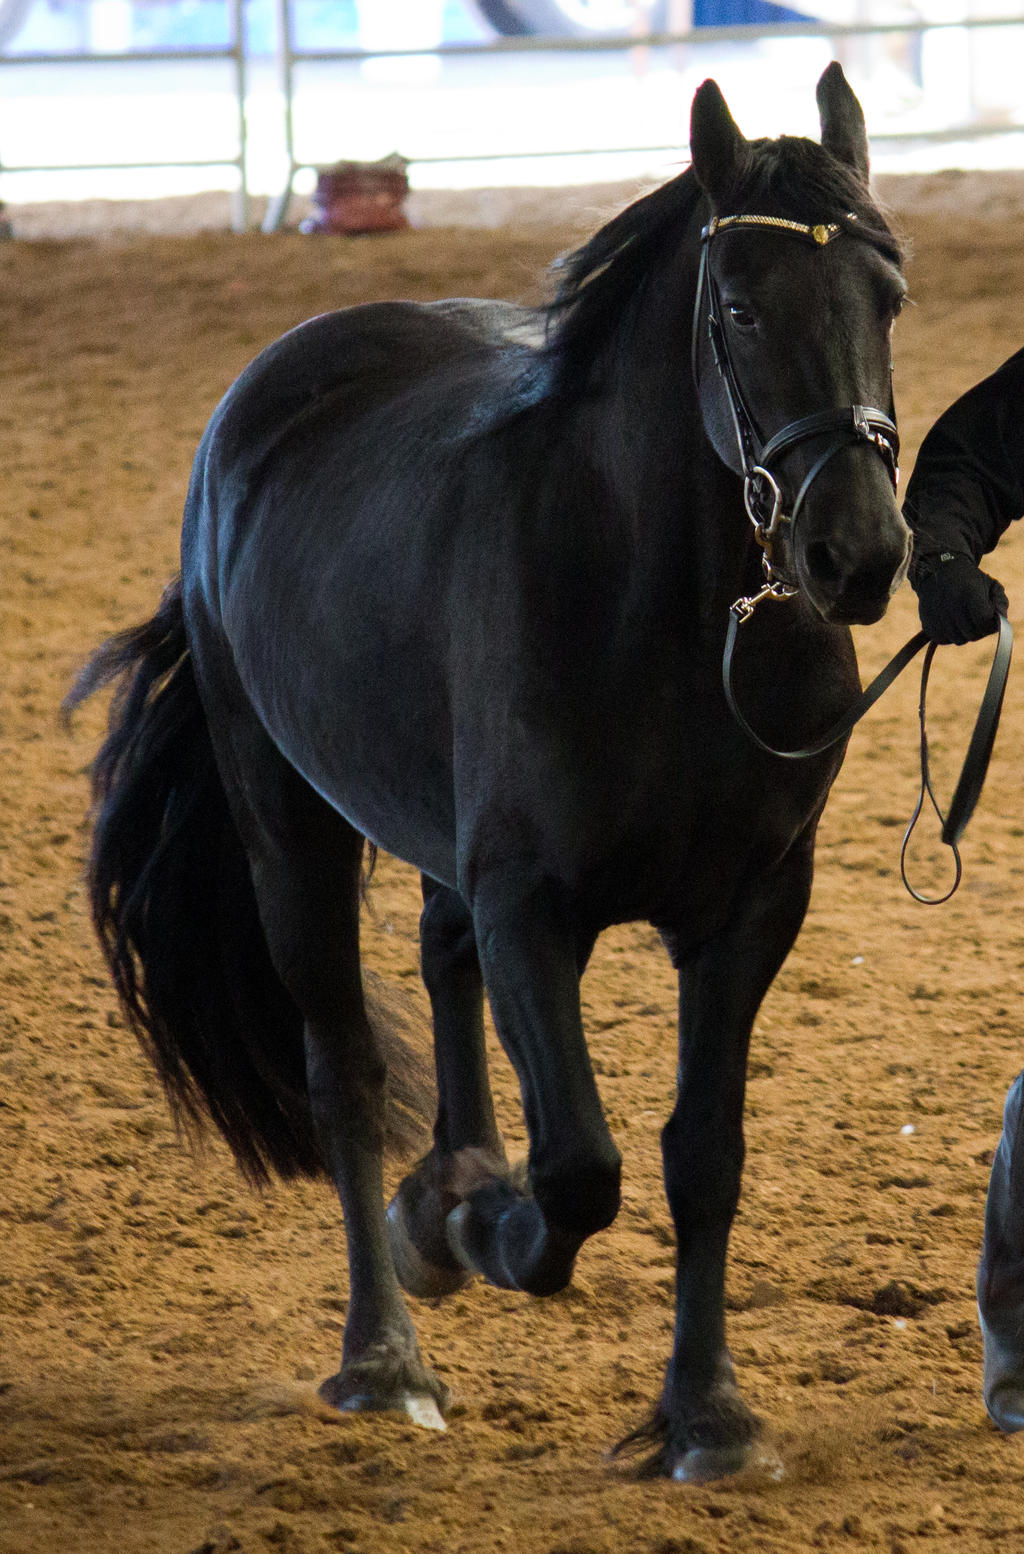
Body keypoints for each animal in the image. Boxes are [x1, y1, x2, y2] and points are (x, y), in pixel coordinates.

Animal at [67, 69, 907, 1479]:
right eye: (739, 306)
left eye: (887, 295)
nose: (857, 553)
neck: (668, 613)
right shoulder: (534, 907)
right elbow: (578, 1169)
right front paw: (474, 1226)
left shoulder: (750, 911)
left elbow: (702, 1158)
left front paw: (708, 1415)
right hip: (287, 828)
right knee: (344, 1070)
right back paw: (387, 1344)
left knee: (437, 950)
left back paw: (455, 1181)